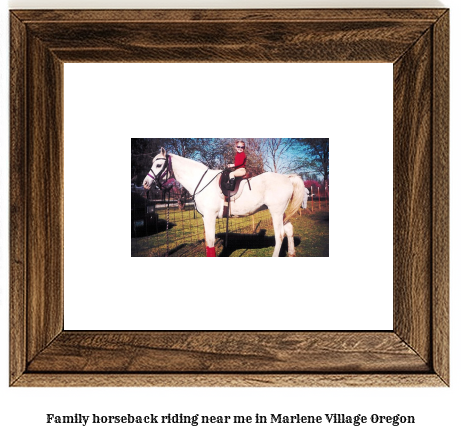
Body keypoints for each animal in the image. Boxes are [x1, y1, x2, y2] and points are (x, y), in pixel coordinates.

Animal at [142, 147, 304, 255]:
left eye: (158, 165)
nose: (145, 183)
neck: (202, 181)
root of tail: (287, 178)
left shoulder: (210, 216)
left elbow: (211, 242)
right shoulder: (205, 217)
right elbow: (209, 242)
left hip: (276, 212)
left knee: (280, 235)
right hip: (281, 213)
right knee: (289, 230)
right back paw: (291, 253)